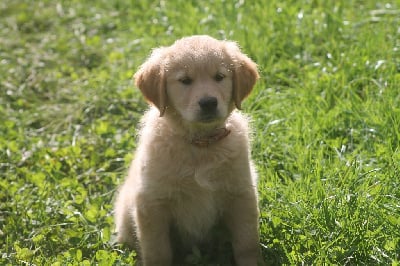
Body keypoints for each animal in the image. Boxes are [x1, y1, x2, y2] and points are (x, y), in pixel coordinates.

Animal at [114, 35, 260, 266]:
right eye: (185, 81)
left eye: (219, 77)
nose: (208, 103)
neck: (200, 144)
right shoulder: (152, 203)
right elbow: (157, 251)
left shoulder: (241, 193)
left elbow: (247, 244)